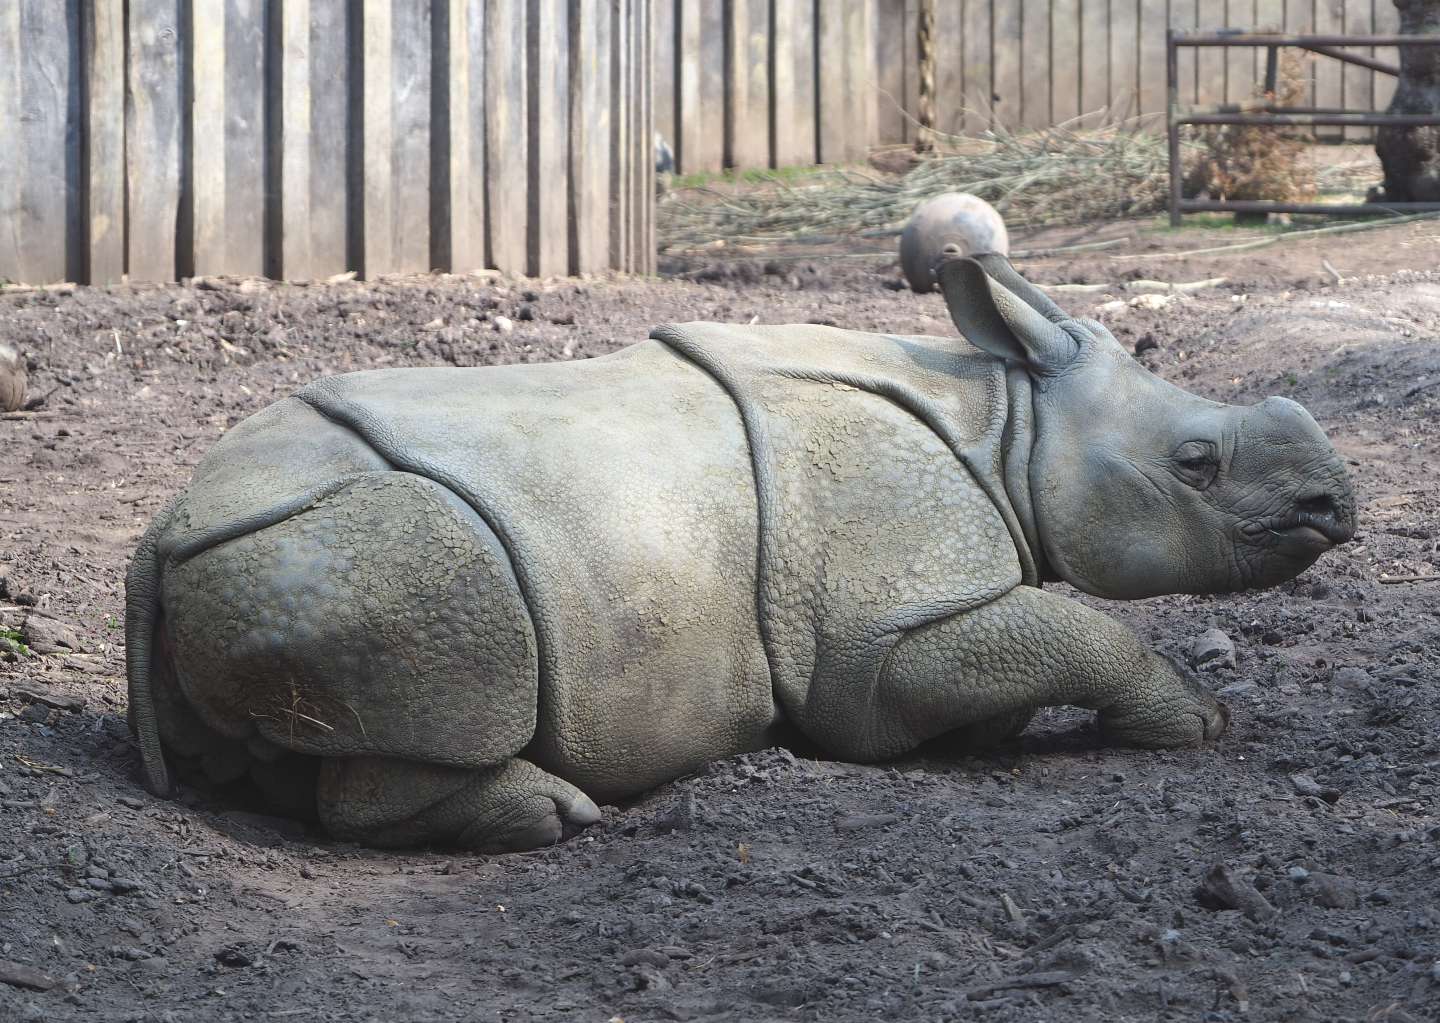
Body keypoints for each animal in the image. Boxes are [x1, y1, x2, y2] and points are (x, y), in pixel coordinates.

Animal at [126, 255, 1354, 852]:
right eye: (1196, 463)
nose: (1333, 505)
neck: (1011, 423)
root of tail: (160, 530)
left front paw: (994, 735)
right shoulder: (877, 640)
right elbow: (1066, 630)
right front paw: (1198, 726)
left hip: (278, 555)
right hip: (364, 549)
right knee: (456, 657)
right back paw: (551, 820)